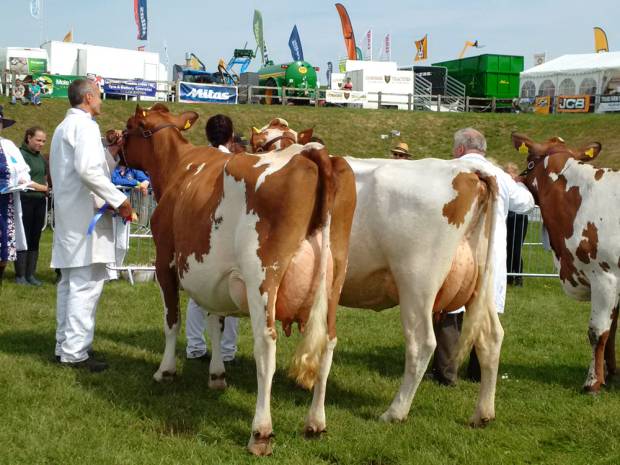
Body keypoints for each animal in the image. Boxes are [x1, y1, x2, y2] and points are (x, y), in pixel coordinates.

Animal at [121, 104, 356, 454]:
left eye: (130, 126)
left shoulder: (164, 262)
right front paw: (217, 375)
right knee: (328, 342)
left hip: (263, 279)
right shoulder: (214, 278)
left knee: (266, 346)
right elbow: (215, 322)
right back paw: (315, 422)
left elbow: (172, 321)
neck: (178, 168)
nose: (112, 140)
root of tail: (311, 153)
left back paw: (261, 432)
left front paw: (166, 370)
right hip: (334, 281)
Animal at [252, 120, 504, 428]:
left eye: (259, 146)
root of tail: (469, 172)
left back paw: (395, 411)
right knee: (491, 336)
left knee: (422, 343)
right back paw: (483, 413)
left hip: (417, 283)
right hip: (482, 283)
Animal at [512, 131, 616, 392]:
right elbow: (612, 333)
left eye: (528, 158)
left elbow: (598, 332)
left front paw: (593, 382)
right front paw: (611, 374)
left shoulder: (605, 276)